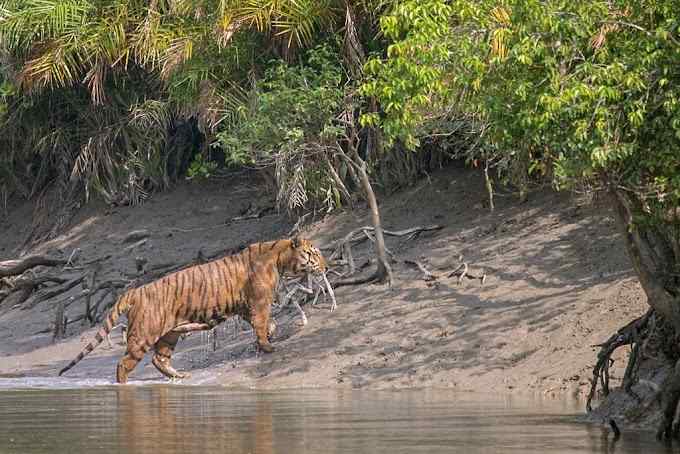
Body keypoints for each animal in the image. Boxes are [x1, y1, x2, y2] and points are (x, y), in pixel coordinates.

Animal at [57, 238, 328, 384]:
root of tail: (134, 291)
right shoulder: (259, 302)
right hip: (143, 335)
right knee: (123, 364)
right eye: (315, 254)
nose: (326, 267)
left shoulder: (245, 306)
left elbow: (265, 323)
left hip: (170, 333)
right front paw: (268, 347)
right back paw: (123, 387)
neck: (280, 257)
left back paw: (179, 376)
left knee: (159, 358)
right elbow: (262, 323)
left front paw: (271, 335)